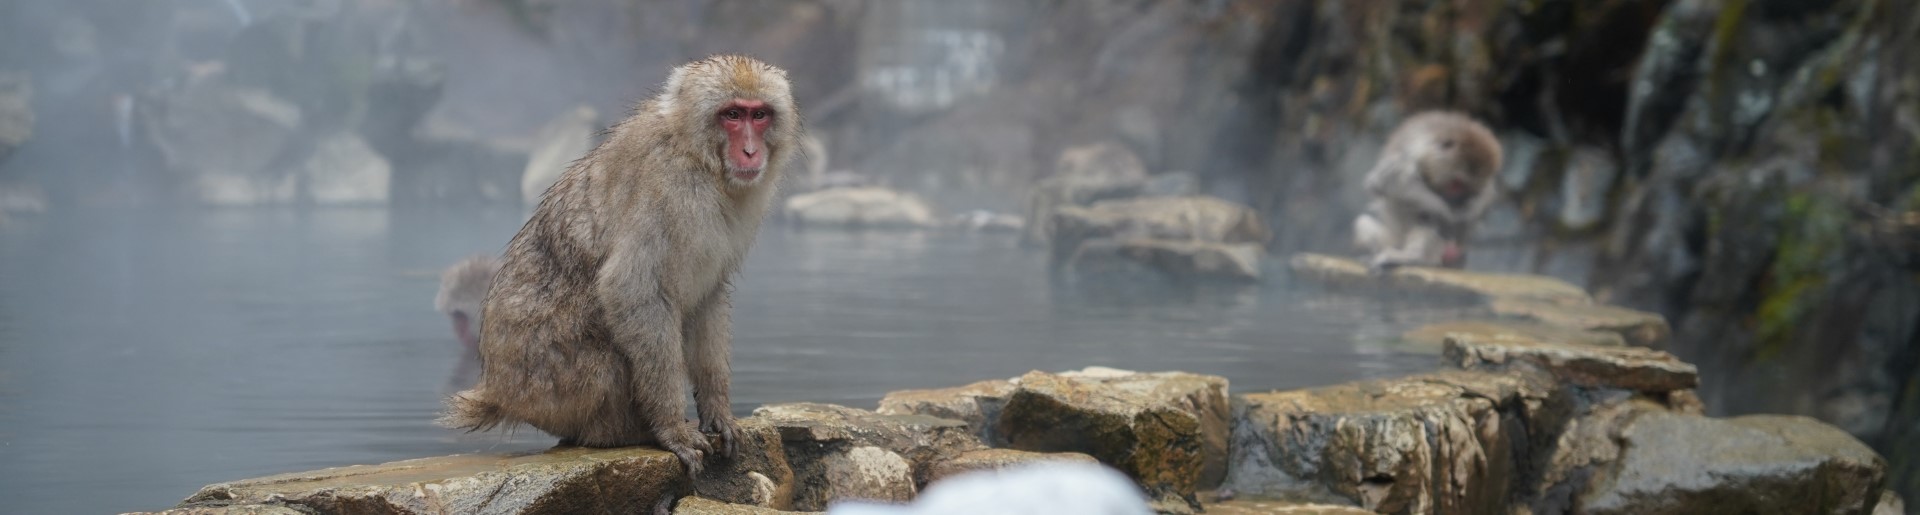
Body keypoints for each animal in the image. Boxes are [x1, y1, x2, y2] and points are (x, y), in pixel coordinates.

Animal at [439, 56, 798, 474]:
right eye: (732, 115)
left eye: (759, 115)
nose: (751, 151)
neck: (696, 154)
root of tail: (500, 392)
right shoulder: (670, 189)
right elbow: (632, 290)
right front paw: (671, 428)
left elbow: (708, 296)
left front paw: (717, 411)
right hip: (555, 386)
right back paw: (621, 433)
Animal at [1351, 111, 1497, 272]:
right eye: (1456, 185)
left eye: (1469, 190)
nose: (1458, 202)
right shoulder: (1407, 155)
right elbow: (1380, 184)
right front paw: (1450, 212)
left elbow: (1480, 205)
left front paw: (1465, 212)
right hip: (1389, 238)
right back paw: (1412, 257)